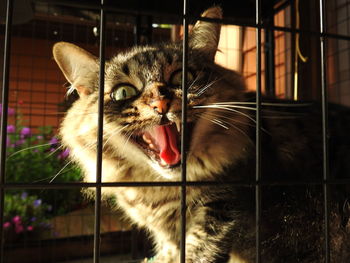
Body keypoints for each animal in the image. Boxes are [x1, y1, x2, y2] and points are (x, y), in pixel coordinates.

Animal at [52, 6, 350, 263]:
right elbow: (171, 252)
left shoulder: (221, 211)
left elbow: (198, 253)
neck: (161, 190)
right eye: (123, 92)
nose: (160, 104)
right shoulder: (171, 235)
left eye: (180, 78)